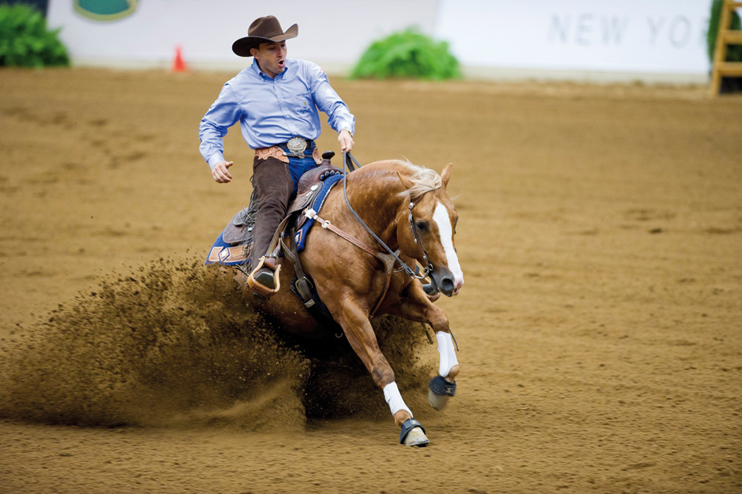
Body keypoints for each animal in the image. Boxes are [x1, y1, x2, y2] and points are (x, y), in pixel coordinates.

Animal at [235, 159, 464, 448]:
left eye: (455, 218)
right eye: (421, 224)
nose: (452, 280)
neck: (357, 228)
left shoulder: (400, 297)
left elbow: (439, 318)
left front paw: (442, 386)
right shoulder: (348, 311)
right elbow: (380, 367)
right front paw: (409, 424)